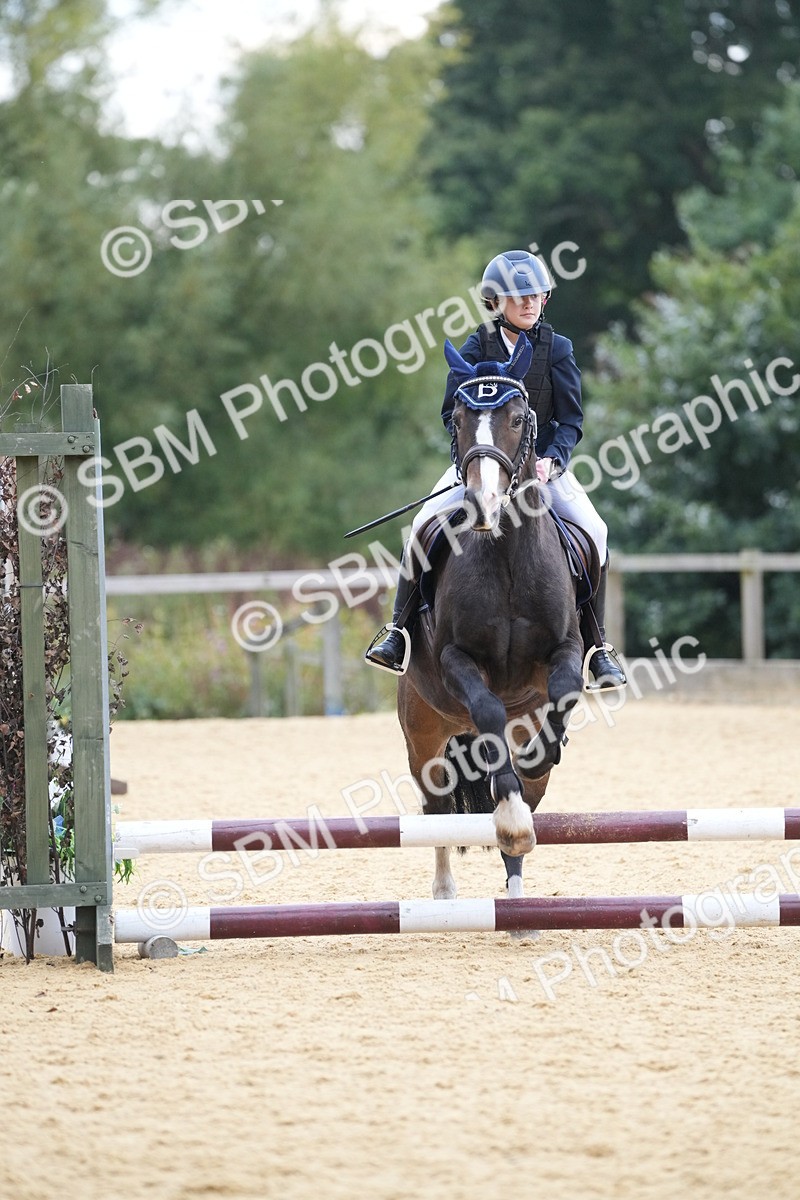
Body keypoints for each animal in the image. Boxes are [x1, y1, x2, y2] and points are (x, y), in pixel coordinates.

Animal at [396, 333, 586, 904]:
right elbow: (487, 709)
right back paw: (445, 891)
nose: (483, 504)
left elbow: (565, 689)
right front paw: (511, 819)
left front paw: (541, 757)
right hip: (426, 737)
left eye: (519, 418)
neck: (505, 553)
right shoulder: (457, 658)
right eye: (458, 418)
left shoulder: (566, 647)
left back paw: (517, 895)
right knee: (436, 807)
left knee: (529, 791)